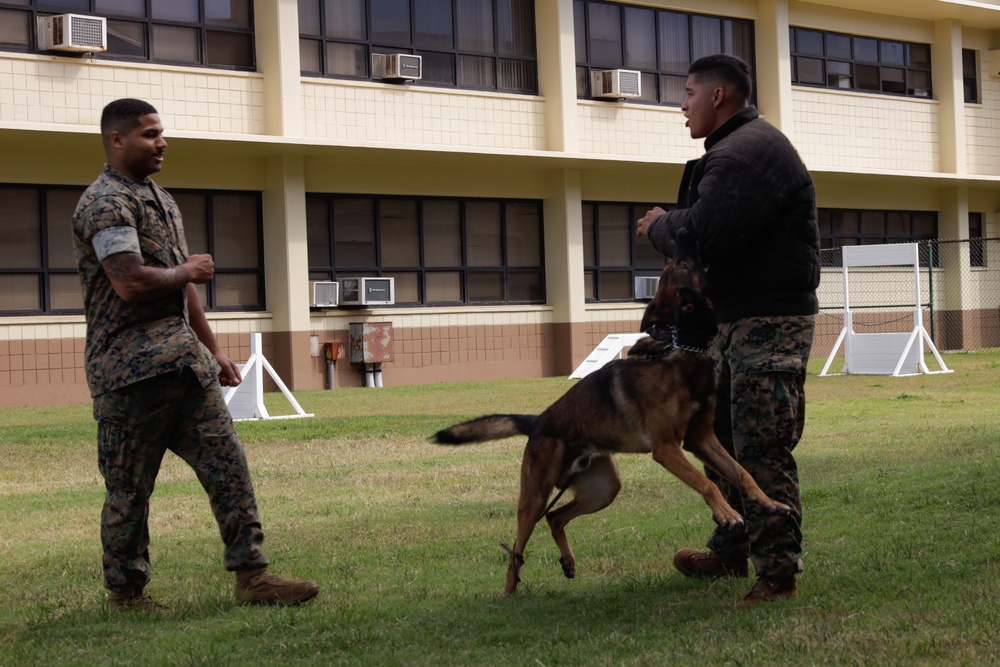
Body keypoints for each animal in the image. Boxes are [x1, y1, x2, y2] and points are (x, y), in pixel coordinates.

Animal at [430, 228, 788, 596]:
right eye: (683, 263)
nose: (683, 230)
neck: (681, 347)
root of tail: (538, 421)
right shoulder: (668, 449)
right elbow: (707, 484)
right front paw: (727, 513)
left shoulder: (701, 440)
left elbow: (741, 472)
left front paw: (768, 502)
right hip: (535, 496)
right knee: (517, 548)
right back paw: (509, 592)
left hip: (603, 490)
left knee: (555, 517)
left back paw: (567, 561)